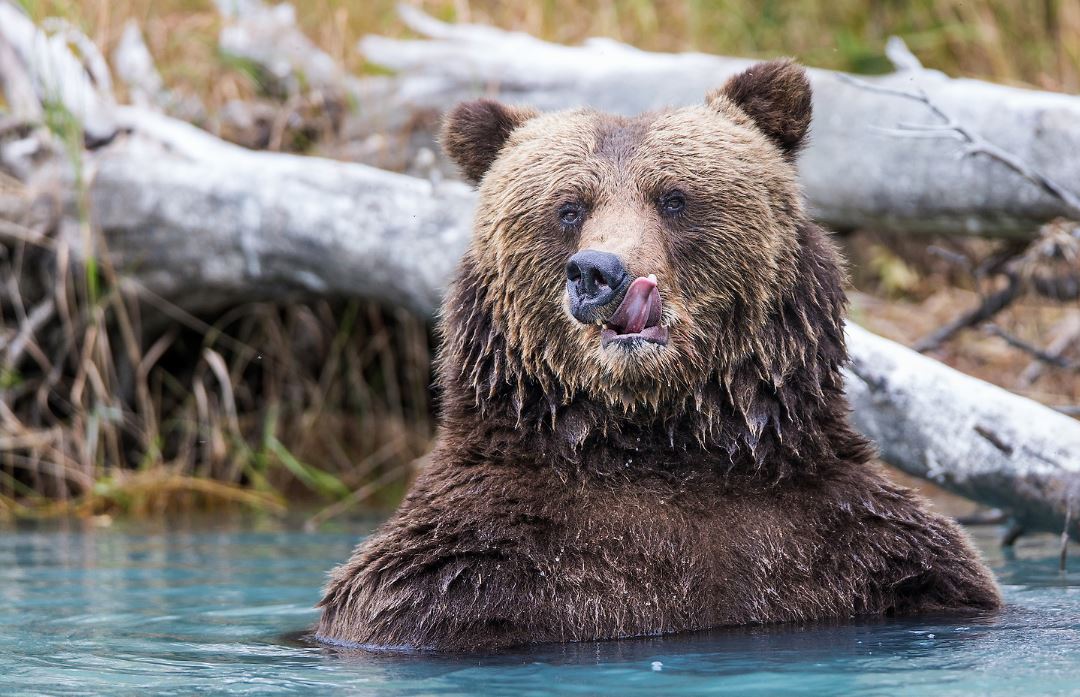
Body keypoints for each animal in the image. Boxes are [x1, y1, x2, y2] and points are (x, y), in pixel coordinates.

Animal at [315, 59, 997, 652]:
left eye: (674, 198)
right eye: (568, 208)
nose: (599, 272)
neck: (657, 438)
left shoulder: (872, 552)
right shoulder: (451, 577)